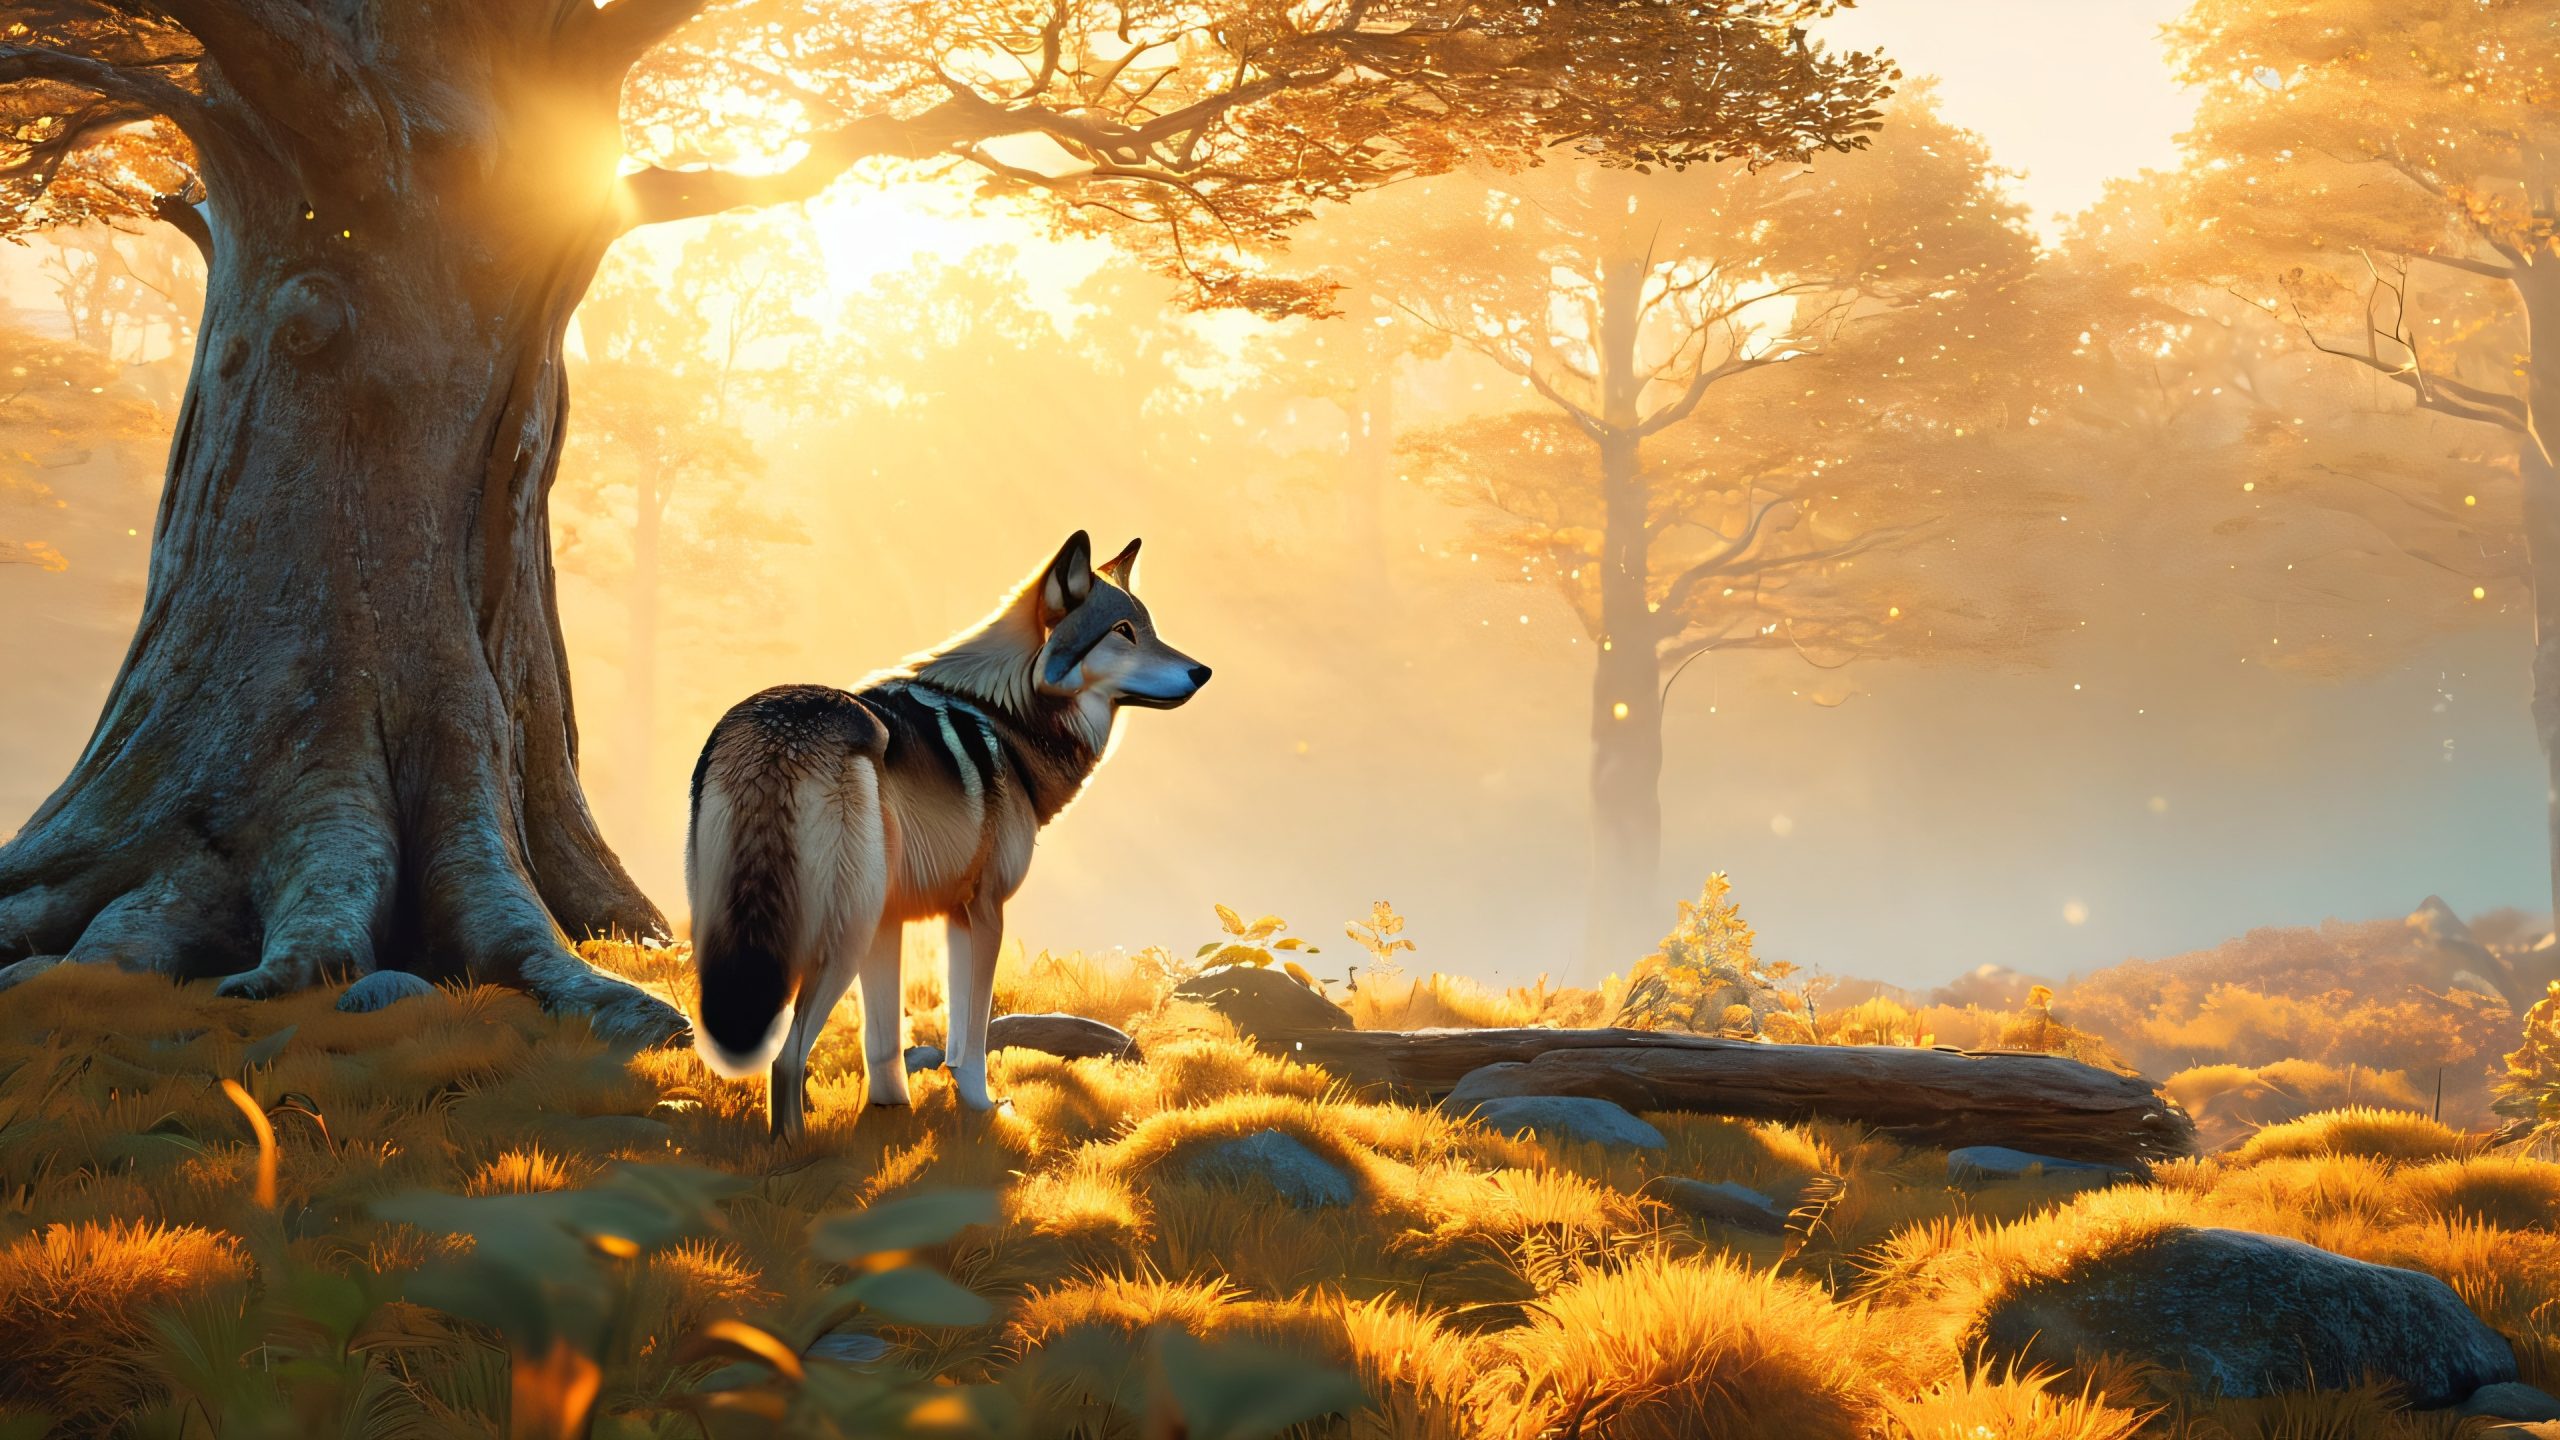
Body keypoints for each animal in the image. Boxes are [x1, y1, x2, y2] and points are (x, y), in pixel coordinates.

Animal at [684, 531, 1208, 1137]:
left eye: (1149, 628)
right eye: (1124, 631)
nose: (1203, 672)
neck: (1008, 716)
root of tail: (779, 737)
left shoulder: (898, 921)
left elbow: (884, 1042)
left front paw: (891, 1115)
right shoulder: (981, 909)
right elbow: (970, 1036)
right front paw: (982, 1109)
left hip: (745, 931)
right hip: (841, 933)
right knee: (787, 1053)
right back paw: (792, 1151)